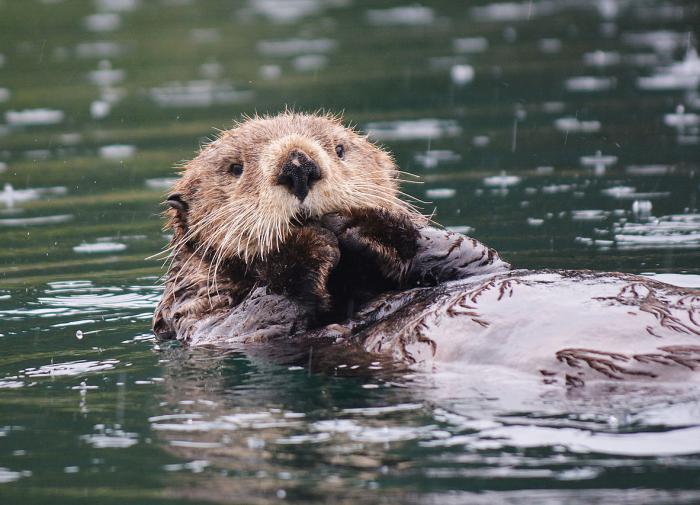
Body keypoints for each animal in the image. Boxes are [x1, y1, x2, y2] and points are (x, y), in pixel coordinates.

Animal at [154, 112, 700, 384]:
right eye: (235, 168)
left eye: (339, 148)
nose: (298, 165)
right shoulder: (201, 320)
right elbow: (249, 323)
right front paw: (308, 243)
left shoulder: (474, 263)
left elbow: (467, 254)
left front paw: (364, 223)